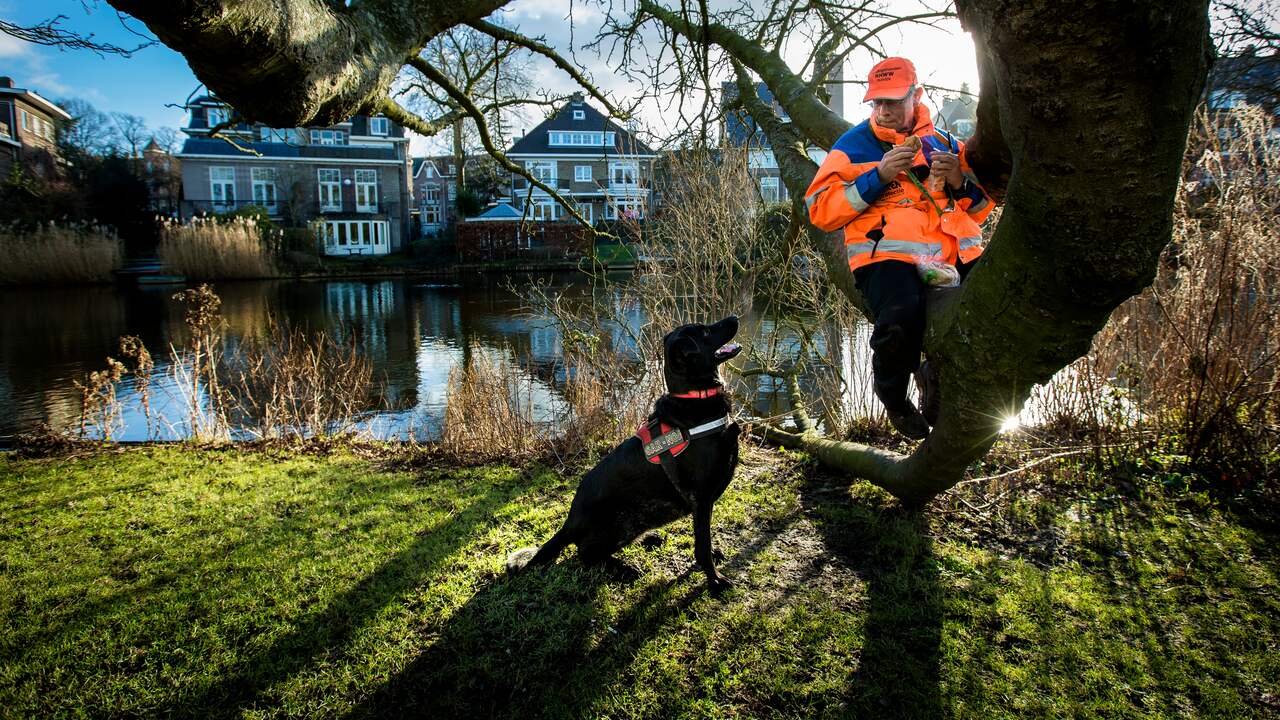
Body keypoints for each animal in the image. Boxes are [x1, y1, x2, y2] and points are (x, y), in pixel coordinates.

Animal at [506, 316, 747, 591]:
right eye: (706, 331)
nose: (734, 318)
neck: (695, 400)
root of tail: (569, 523)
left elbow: (704, 536)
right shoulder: (701, 496)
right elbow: (702, 545)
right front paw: (714, 579)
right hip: (621, 523)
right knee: (584, 554)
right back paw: (623, 568)